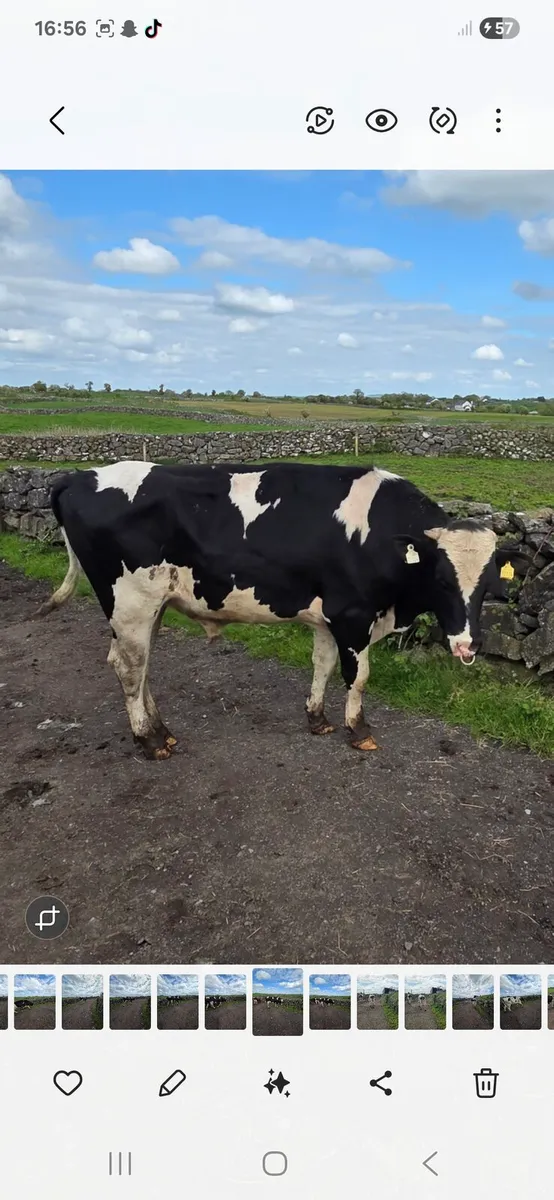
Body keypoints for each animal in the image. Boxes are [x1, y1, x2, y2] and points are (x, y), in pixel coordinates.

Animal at [39, 460, 515, 760]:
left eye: (488, 585)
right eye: (442, 579)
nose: (468, 644)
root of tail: (80, 476)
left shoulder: (328, 617)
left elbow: (323, 665)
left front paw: (318, 719)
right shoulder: (353, 615)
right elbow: (358, 677)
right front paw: (358, 731)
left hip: (148, 608)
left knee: (140, 668)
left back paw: (162, 731)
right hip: (131, 603)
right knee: (129, 667)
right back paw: (149, 741)